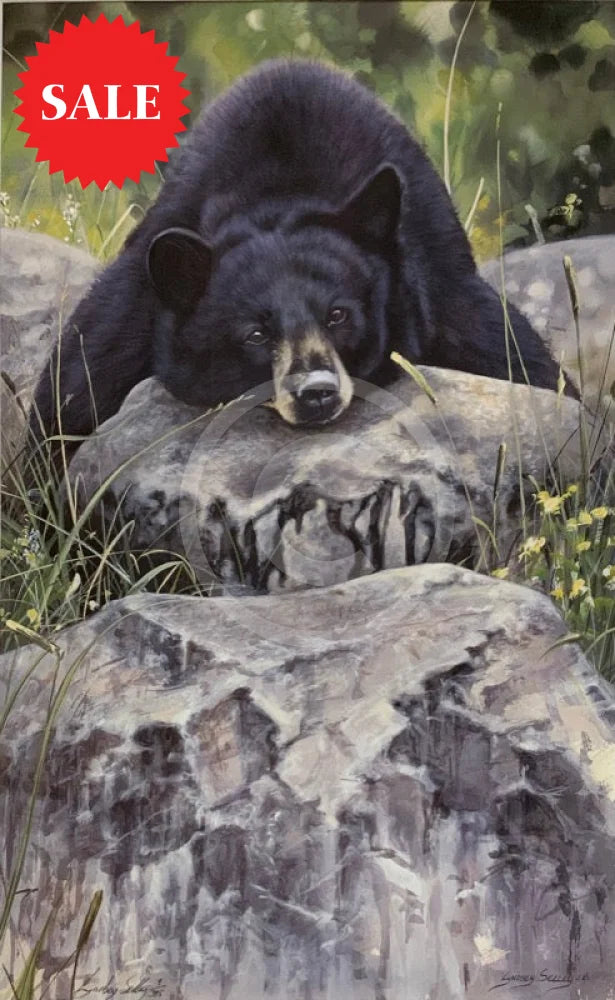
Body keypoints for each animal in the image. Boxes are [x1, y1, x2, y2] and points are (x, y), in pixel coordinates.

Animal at [29, 58, 574, 459]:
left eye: (339, 314)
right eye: (255, 333)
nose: (316, 392)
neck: (281, 192)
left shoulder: (449, 297)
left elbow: (527, 367)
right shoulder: (124, 326)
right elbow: (70, 403)